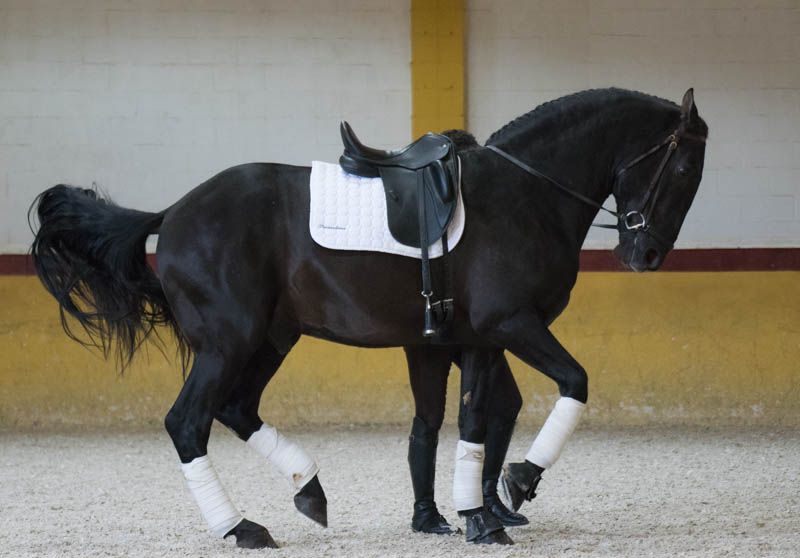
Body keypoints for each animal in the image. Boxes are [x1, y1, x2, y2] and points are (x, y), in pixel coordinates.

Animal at [29, 87, 708, 552]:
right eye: (682, 168)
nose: (646, 256)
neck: (526, 193)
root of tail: (172, 213)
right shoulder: (512, 325)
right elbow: (573, 383)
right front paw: (517, 482)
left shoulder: (479, 339)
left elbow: (468, 421)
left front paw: (474, 515)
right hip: (228, 343)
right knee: (188, 423)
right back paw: (242, 527)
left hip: (271, 338)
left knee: (238, 409)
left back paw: (309, 489)